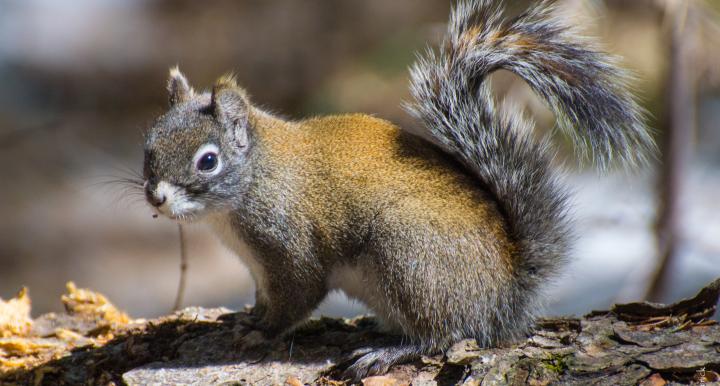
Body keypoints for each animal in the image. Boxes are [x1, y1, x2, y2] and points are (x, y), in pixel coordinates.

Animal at [139, 0, 652, 380]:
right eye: (149, 144)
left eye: (208, 161)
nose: (156, 198)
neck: (253, 183)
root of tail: (506, 294)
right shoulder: (260, 268)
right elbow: (265, 298)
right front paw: (243, 317)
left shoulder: (290, 251)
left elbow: (295, 297)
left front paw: (260, 333)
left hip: (408, 256)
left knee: (442, 334)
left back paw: (387, 353)